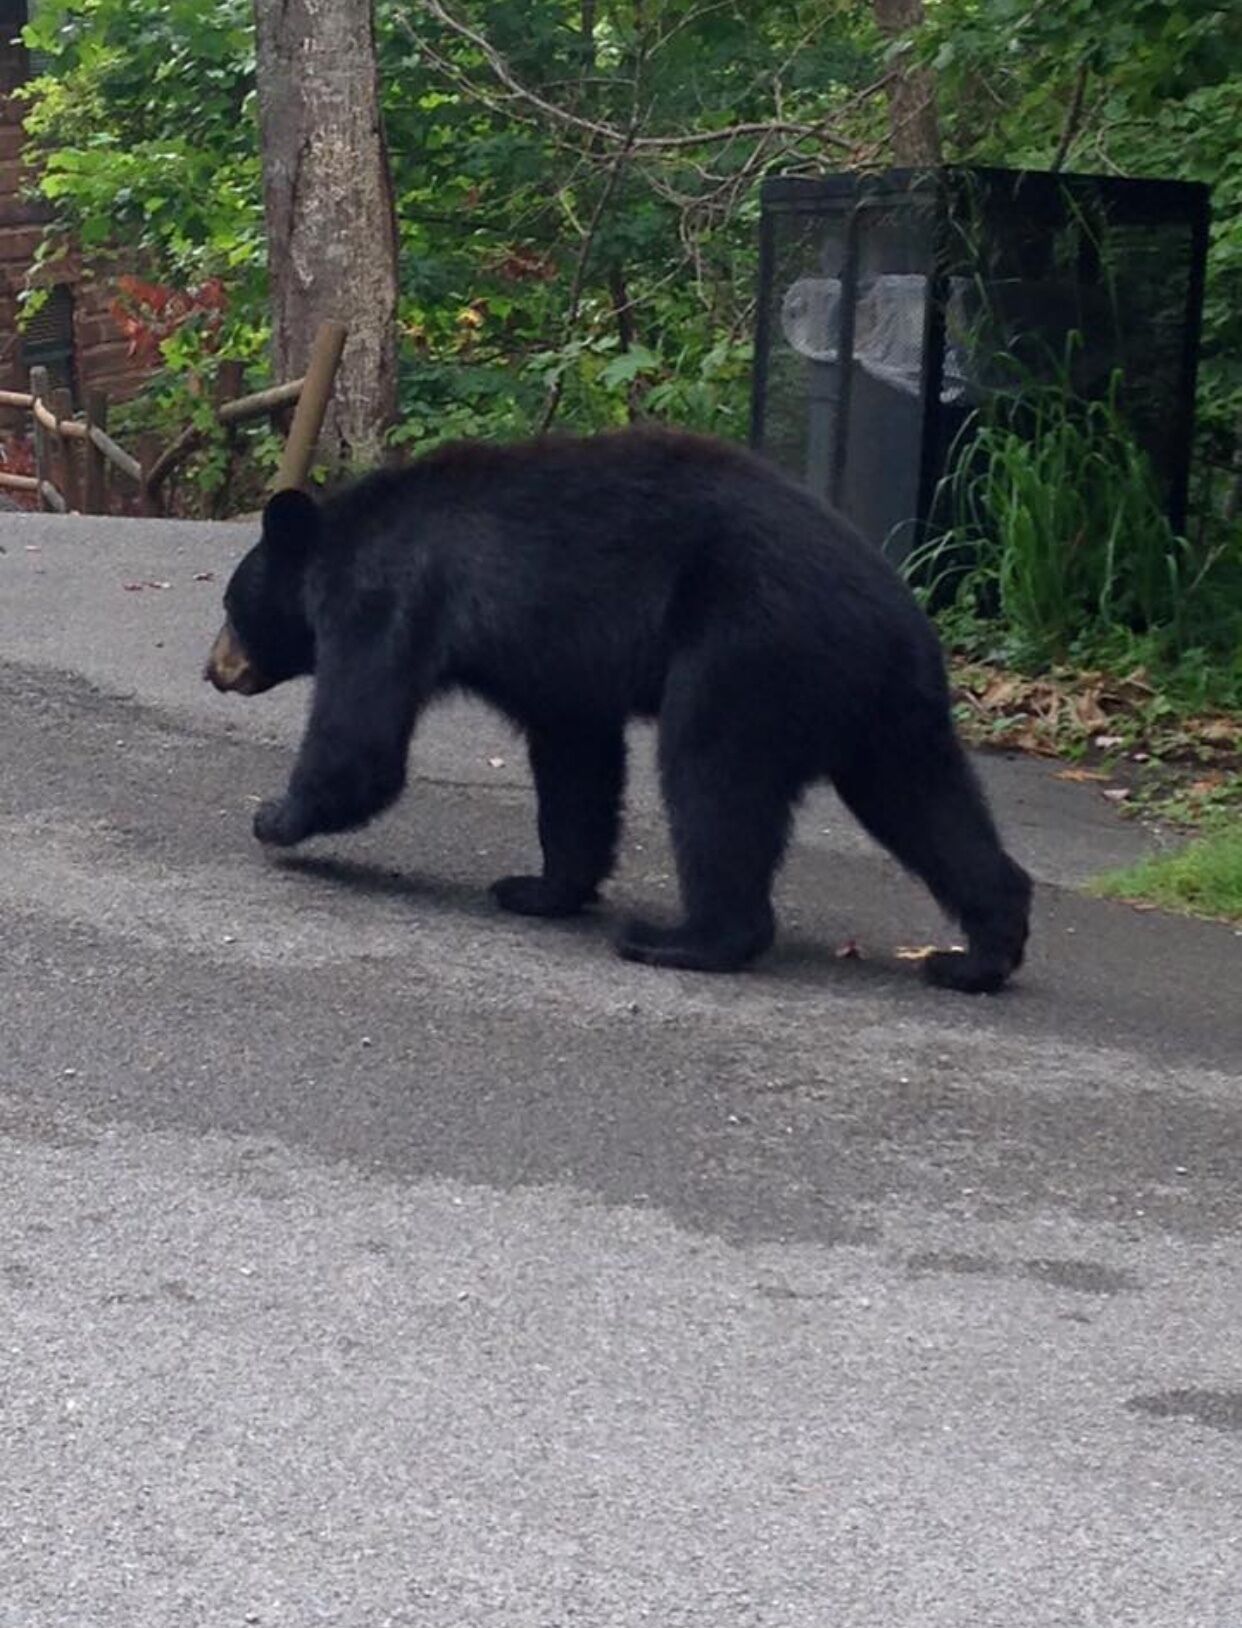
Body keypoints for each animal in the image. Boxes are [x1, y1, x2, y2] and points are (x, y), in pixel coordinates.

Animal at [204, 427, 1031, 992]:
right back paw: (978, 953)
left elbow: (361, 740)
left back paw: (684, 939)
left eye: (230, 605)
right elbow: (576, 761)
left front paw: (274, 815)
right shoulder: (557, 668)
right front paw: (539, 889)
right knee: (927, 803)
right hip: (885, 707)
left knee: (712, 777)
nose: (213, 670)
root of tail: (894, 617)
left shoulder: (385, 598)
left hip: (749, 649)